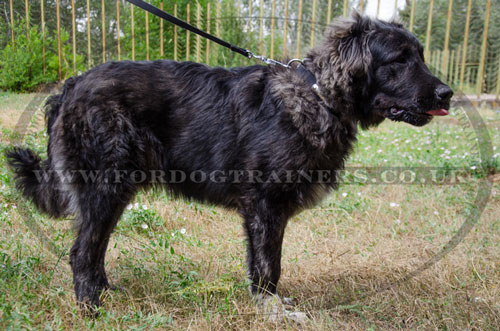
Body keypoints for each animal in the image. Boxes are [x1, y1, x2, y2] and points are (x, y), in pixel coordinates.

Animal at [6, 13, 454, 320]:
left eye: (420, 56)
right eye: (399, 60)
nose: (447, 94)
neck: (317, 96)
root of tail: (70, 86)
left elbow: (267, 264)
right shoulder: (265, 206)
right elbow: (269, 266)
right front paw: (272, 312)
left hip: (115, 192)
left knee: (95, 250)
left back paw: (106, 294)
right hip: (105, 187)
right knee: (82, 251)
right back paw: (91, 310)